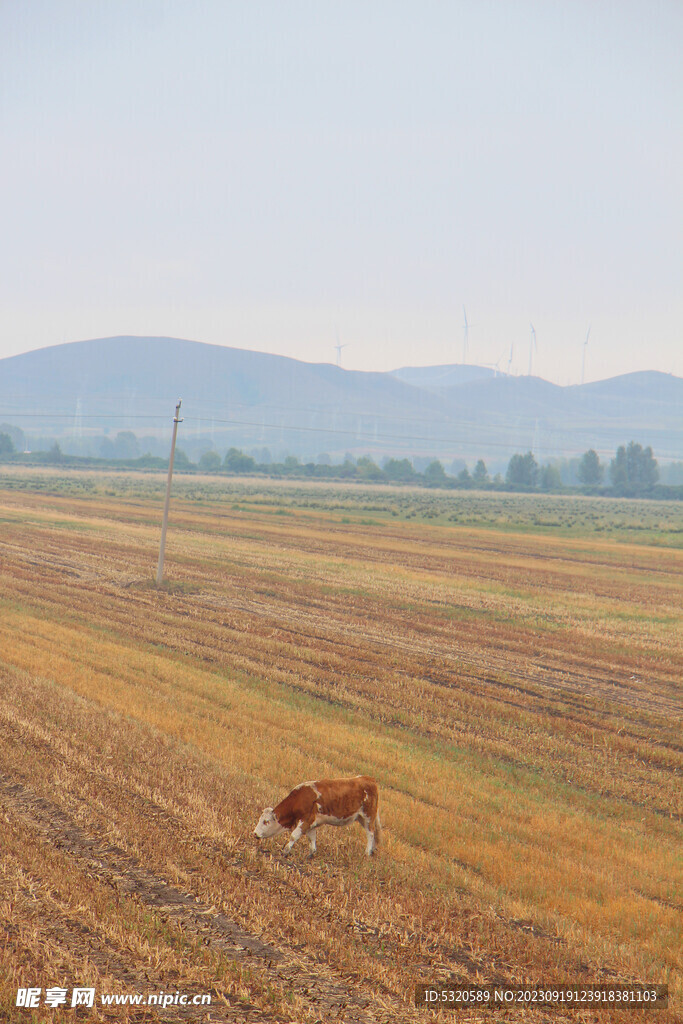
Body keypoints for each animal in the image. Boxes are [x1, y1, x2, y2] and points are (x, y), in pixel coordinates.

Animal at [253, 774, 382, 856]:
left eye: (266, 821)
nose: (254, 833)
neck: (301, 798)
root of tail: (369, 779)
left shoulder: (306, 820)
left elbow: (293, 836)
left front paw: (285, 851)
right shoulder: (311, 823)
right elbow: (312, 838)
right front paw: (311, 853)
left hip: (368, 816)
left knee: (370, 833)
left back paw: (367, 852)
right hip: (361, 818)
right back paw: (372, 851)